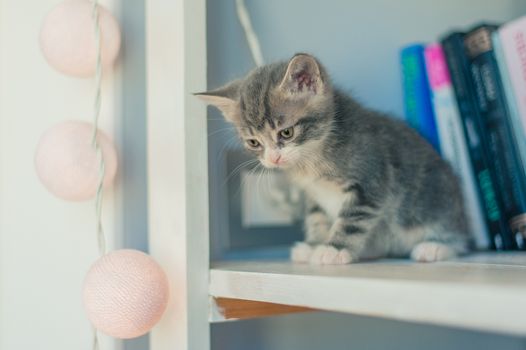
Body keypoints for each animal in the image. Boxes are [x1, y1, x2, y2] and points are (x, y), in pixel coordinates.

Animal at [198, 53, 470, 264]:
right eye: (254, 143)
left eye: (286, 132)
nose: (274, 159)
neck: (313, 157)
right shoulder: (314, 194)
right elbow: (317, 217)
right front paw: (314, 244)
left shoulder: (371, 182)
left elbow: (351, 219)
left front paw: (333, 249)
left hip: (435, 201)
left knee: (460, 240)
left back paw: (435, 247)